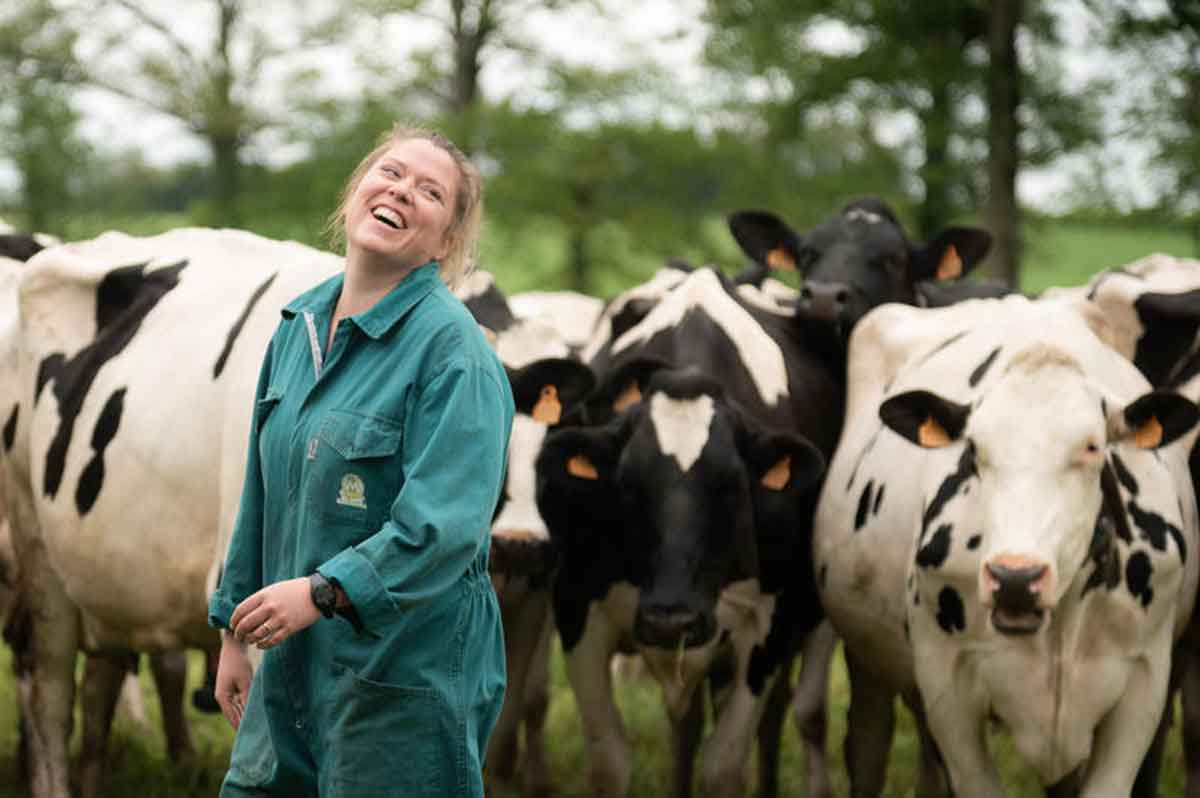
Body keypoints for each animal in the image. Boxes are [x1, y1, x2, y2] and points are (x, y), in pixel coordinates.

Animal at [540, 266, 840, 796]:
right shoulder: (578, 605)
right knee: (687, 724)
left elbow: (724, 764)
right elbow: (609, 760)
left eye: (732, 486)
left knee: (781, 713)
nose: (670, 620)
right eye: (627, 484)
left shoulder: (766, 627)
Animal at [816, 294, 1200, 796]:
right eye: (974, 449)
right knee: (867, 746)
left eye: (1093, 447)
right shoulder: (947, 689)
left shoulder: (1145, 683)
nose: (1015, 578)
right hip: (867, 663)